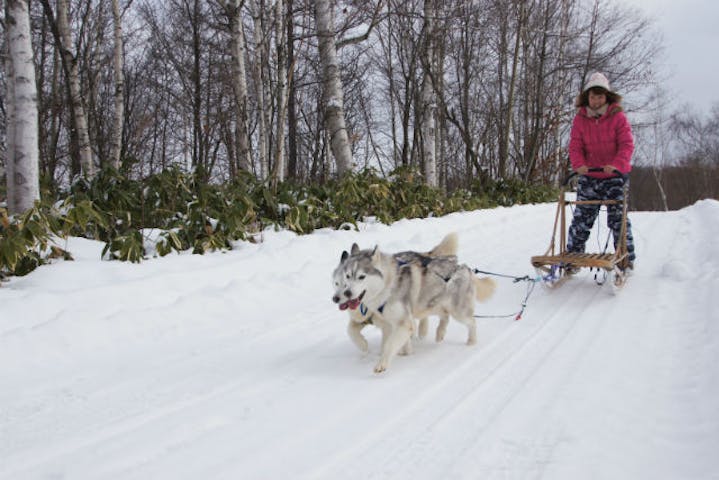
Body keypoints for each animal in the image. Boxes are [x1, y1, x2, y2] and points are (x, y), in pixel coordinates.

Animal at [332, 237, 496, 376]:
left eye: (361, 277)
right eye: (347, 276)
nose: (346, 293)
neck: (387, 286)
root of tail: (464, 267)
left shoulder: (403, 323)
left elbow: (389, 345)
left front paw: (383, 363)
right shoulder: (393, 322)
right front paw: (405, 351)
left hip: (457, 311)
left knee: (472, 322)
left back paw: (471, 341)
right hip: (431, 304)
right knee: (444, 316)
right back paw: (440, 332)